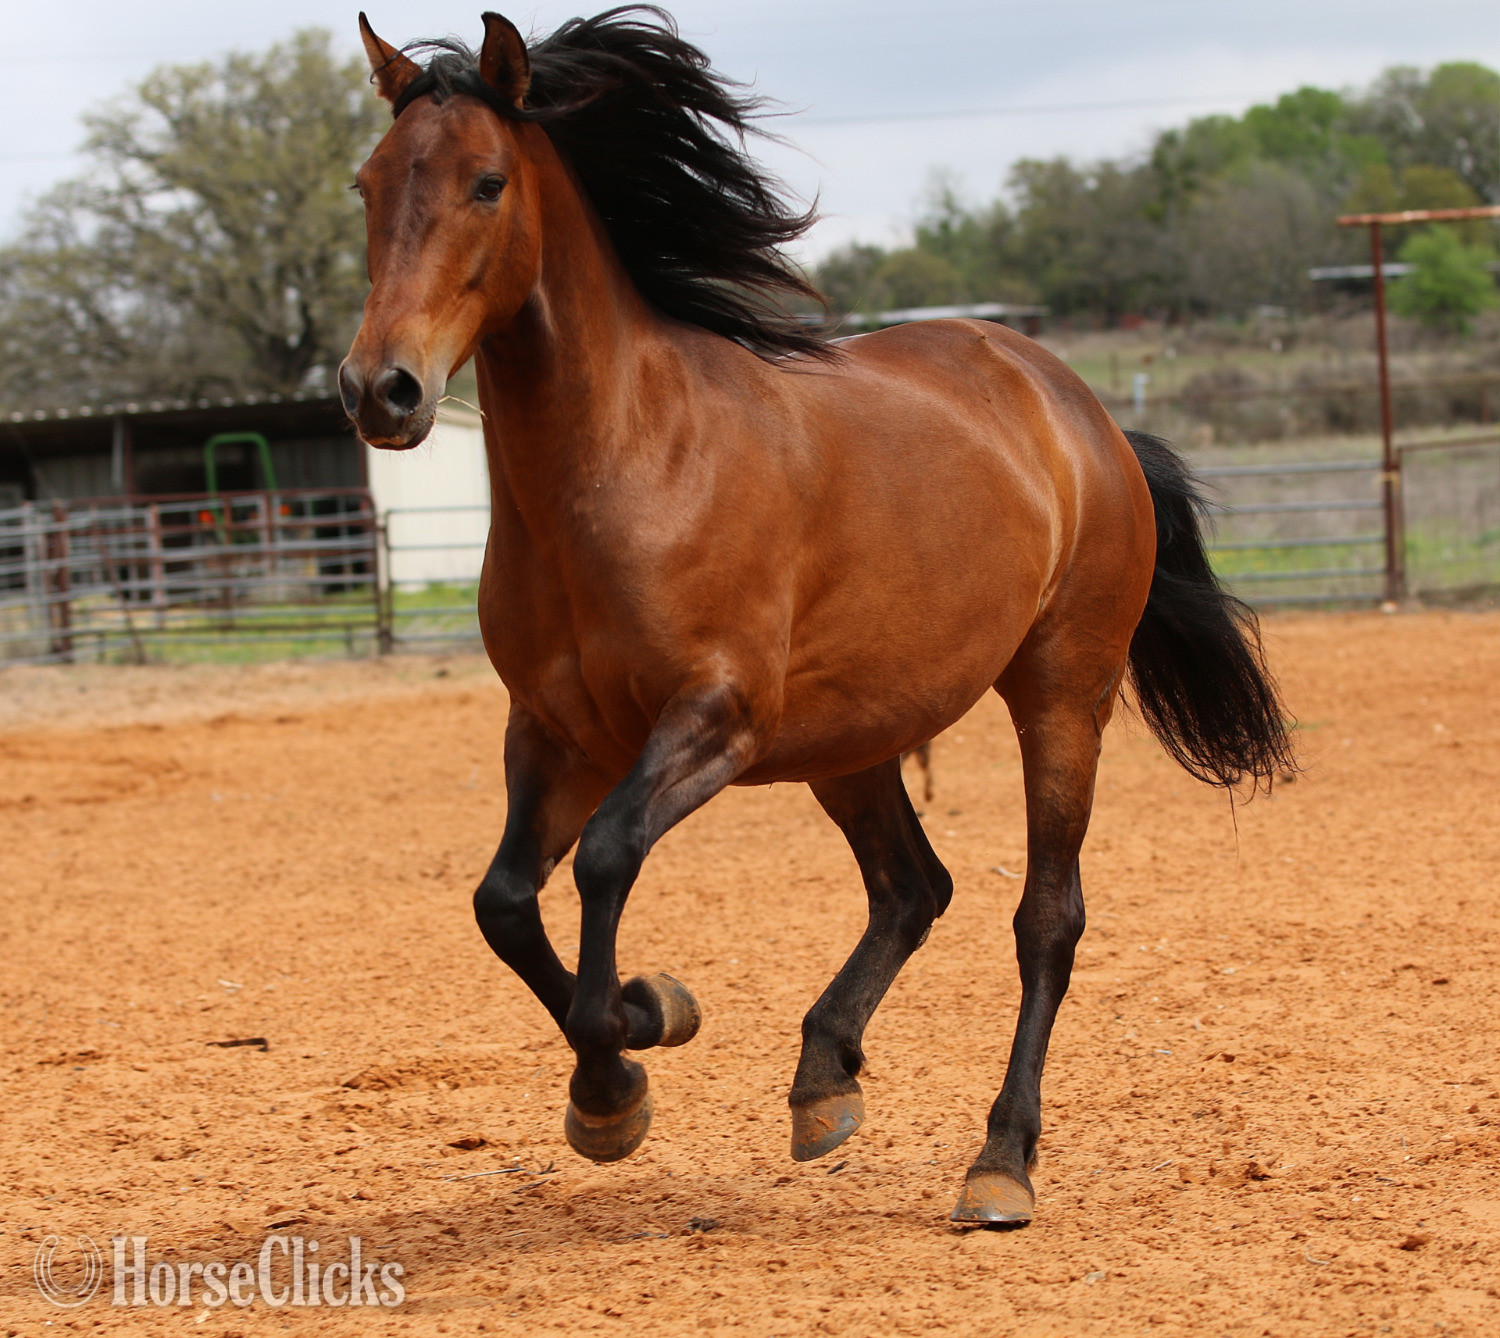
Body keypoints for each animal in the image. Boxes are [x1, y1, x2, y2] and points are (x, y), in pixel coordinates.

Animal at [340, 6, 1294, 1226]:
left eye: (487, 182)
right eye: (370, 184)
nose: (381, 390)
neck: (628, 466)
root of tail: (1080, 410)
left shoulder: (715, 718)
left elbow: (604, 858)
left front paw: (618, 1066)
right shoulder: (553, 733)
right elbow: (503, 900)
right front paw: (642, 1034)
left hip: (1060, 693)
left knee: (1046, 918)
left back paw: (1000, 1162)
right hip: (853, 736)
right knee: (913, 888)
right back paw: (823, 1077)